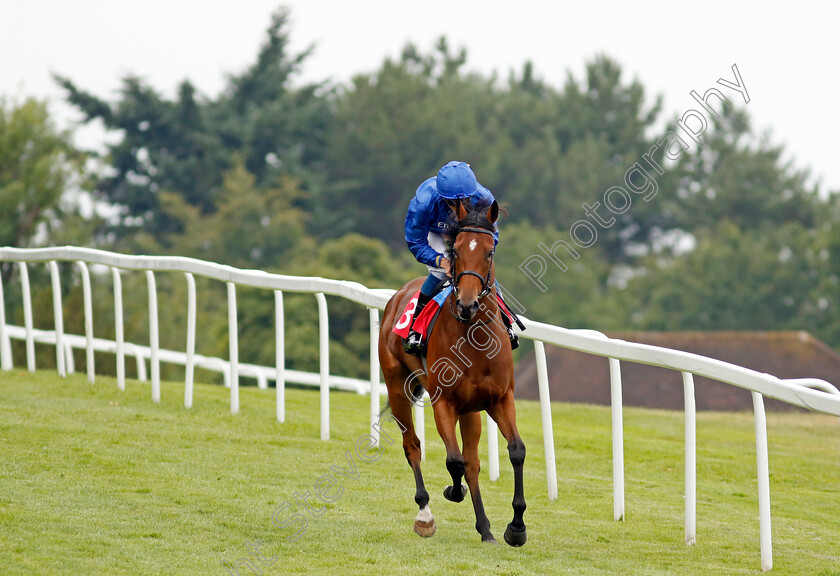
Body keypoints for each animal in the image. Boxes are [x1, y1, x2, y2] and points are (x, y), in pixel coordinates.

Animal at [378, 200, 528, 548]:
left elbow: (515, 451)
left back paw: (485, 528)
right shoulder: (444, 402)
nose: (467, 304)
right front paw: (451, 492)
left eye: (489, 251)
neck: (474, 338)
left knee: (472, 462)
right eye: (456, 250)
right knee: (413, 445)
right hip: (397, 388)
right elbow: (453, 460)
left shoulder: (500, 399)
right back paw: (425, 514)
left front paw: (516, 528)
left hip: (471, 410)